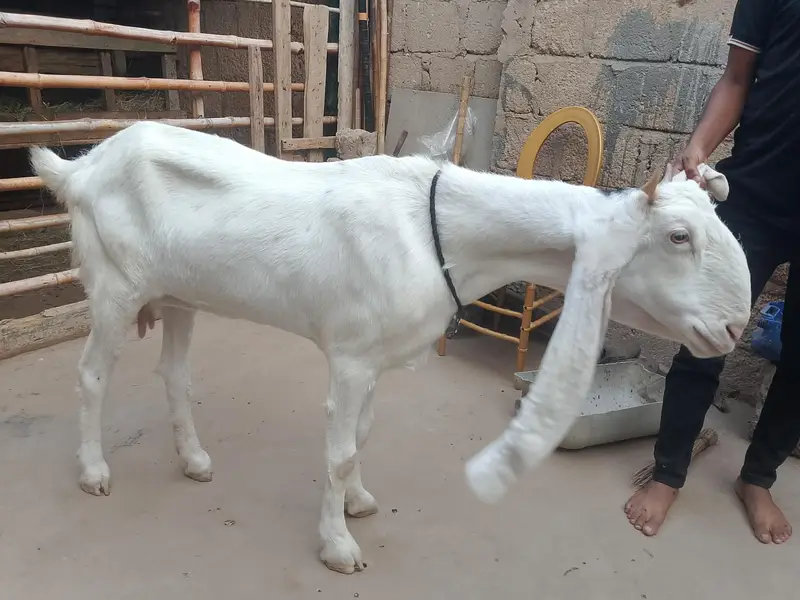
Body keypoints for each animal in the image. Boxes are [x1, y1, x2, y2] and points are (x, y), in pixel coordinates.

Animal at [30, 122, 751, 574]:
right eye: (679, 236)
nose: (735, 328)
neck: (435, 229)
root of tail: (84, 166)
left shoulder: (374, 358)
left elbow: (364, 439)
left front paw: (356, 503)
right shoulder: (350, 358)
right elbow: (341, 449)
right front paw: (338, 546)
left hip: (178, 295)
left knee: (174, 372)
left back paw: (195, 460)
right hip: (115, 288)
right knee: (92, 375)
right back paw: (94, 472)